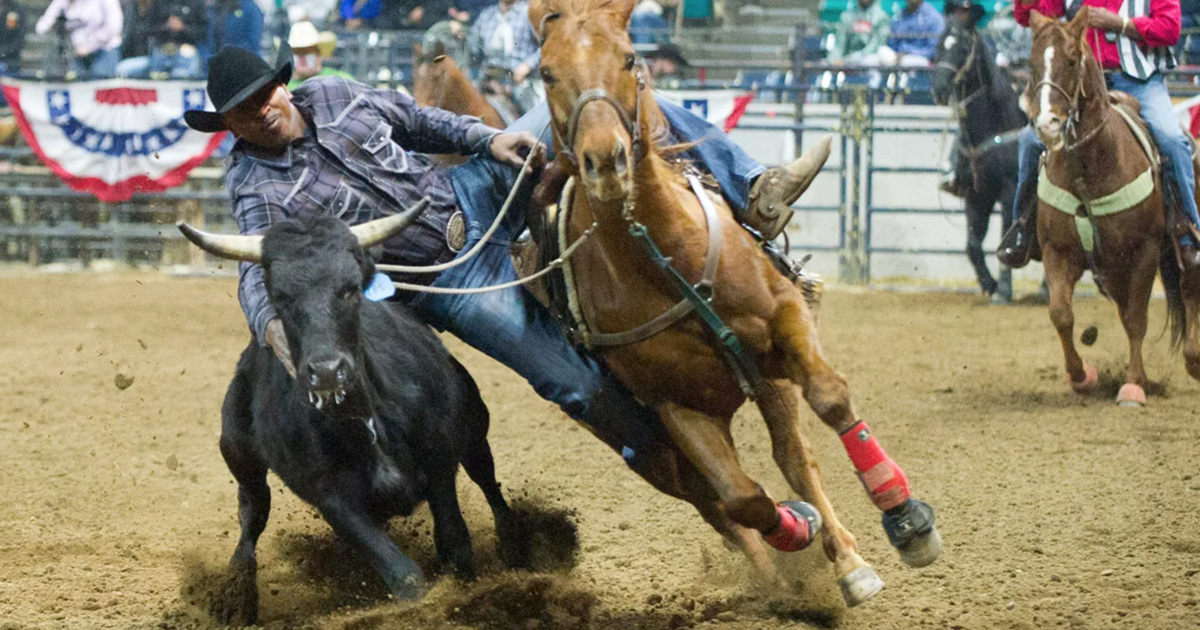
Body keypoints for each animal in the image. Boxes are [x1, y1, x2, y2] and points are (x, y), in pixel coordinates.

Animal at [530, 0, 940, 604]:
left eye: (630, 59)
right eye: (547, 73)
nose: (605, 161)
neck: (664, 258)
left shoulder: (783, 320)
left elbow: (830, 400)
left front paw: (905, 520)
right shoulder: (676, 407)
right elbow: (743, 498)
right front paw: (796, 532)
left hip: (763, 378)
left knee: (793, 456)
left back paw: (846, 559)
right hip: (651, 445)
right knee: (717, 502)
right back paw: (779, 576)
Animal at [931, 18, 1027, 303]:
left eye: (963, 48)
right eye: (939, 45)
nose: (940, 90)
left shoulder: (1010, 192)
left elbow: (1006, 239)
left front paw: (1003, 291)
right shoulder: (976, 195)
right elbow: (972, 245)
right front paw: (990, 285)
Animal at [1022, 9, 1200, 403]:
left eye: (1072, 61)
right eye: (1031, 64)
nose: (1047, 124)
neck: (1089, 169)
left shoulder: (1145, 251)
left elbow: (1137, 319)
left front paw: (1133, 385)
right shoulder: (1057, 250)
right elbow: (1061, 313)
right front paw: (1081, 376)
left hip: (1179, 244)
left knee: (1189, 284)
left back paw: (1193, 361)